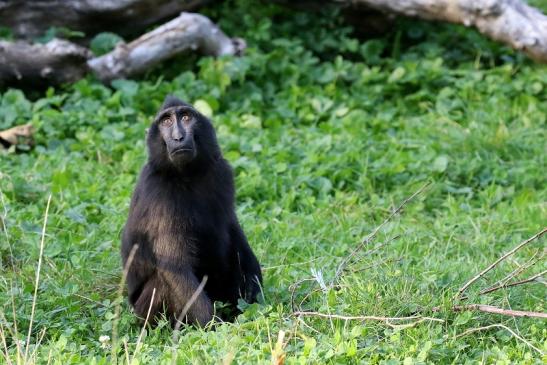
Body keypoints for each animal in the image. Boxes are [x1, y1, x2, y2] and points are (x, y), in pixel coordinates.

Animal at [122, 95, 264, 326]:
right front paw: (214, 328)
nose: (179, 137)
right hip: (146, 312)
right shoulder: (159, 194)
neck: (186, 175)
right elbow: (175, 266)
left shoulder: (220, 171)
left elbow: (231, 227)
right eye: (166, 121)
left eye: (186, 117)